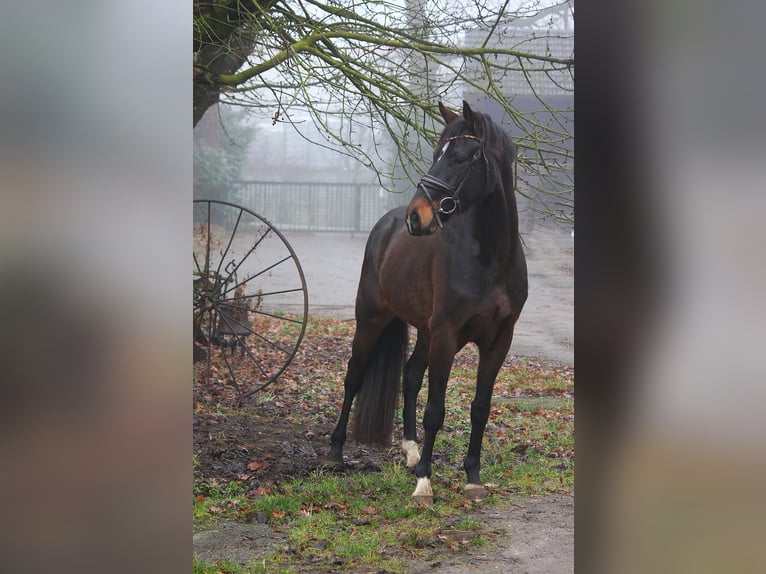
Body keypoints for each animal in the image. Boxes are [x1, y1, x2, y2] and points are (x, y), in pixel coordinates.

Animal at [327, 100, 528, 503]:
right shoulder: (448, 335)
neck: (492, 258)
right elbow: (435, 409)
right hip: (371, 319)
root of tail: (386, 225)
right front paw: (424, 482)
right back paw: (336, 452)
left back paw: (410, 449)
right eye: (437, 154)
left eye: (462, 158)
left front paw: (473, 478)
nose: (415, 217)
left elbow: (480, 408)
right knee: (354, 377)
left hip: (424, 331)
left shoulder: (499, 340)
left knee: (409, 375)